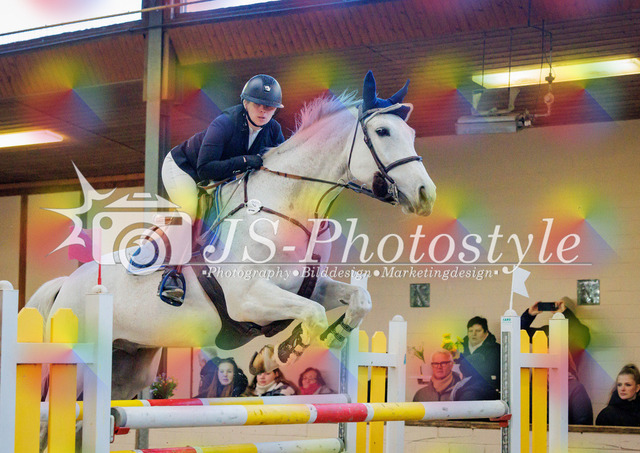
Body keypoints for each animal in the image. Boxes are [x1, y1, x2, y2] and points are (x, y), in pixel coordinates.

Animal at [26, 71, 436, 450]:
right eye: (382, 131)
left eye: (412, 133)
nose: (425, 194)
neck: (283, 207)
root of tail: (66, 284)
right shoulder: (247, 300)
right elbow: (312, 314)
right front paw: (290, 348)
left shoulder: (306, 286)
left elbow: (357, 300)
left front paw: (334, 334)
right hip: (78, 365)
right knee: (48, 424)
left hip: (127, 368)